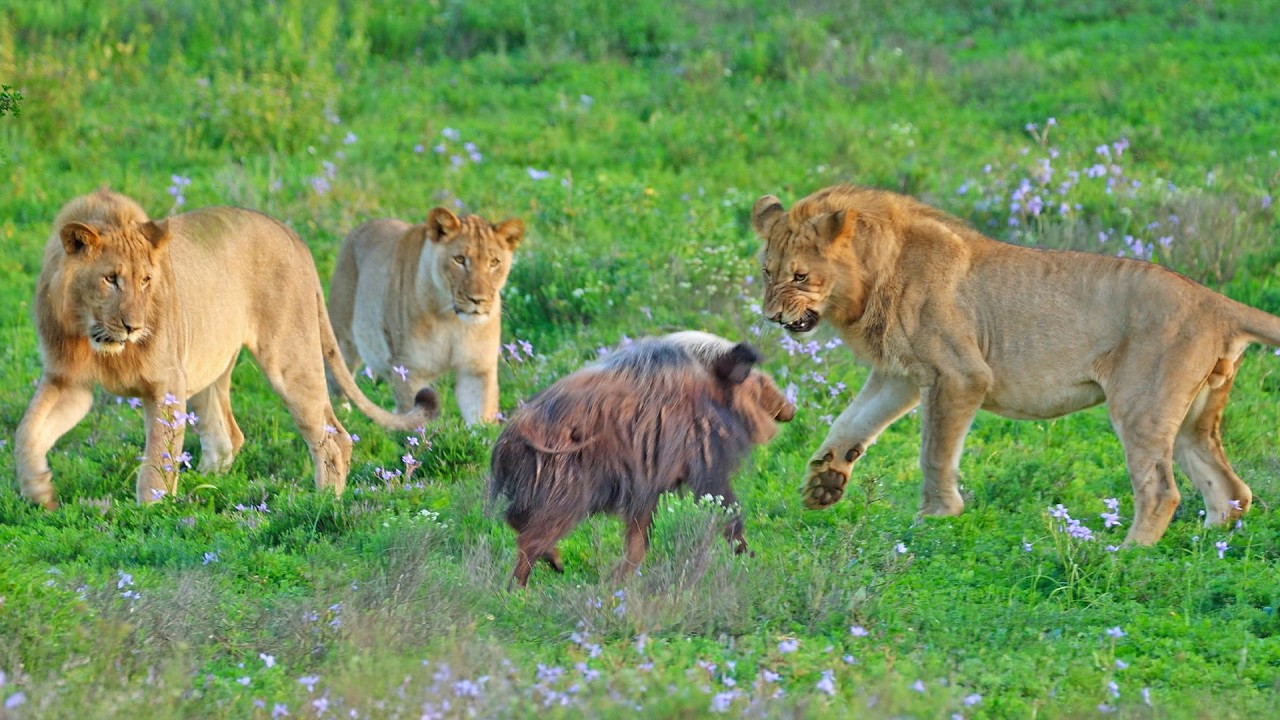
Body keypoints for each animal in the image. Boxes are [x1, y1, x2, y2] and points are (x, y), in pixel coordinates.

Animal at [14, 189, 440, 508]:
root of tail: (290, 233)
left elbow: (156, 460)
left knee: (333, 437)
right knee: (226, 438)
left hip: (288, 356)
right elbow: (27, 432)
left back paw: (322, 504)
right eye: (110, 279)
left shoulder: (166, 382)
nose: (134, 326)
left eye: (146, 280)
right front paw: (39, 492)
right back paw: (205, 492)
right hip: (209, 366)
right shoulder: (68, 382)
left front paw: (151, 515)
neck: (93, 335)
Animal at [327, 207, 524, 424]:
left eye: (494, 262)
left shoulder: (477, 371)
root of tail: (362, 226)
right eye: (459, 260)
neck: (452, 320)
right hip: (342, 340)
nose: (477, 299)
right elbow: (416, 423)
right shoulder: (411, 371)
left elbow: (481, 422)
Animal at [751, 184, 1280, 545]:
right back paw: (1205, 549)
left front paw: (935, 518)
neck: (870, 279)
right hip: (1193, 420)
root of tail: (1215, 300)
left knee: (1161, 491)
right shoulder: (900, 375)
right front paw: (824, 483)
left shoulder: (959, 375)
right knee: (1231, 490)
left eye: (801, 276)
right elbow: (851, 422)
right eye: (766, 271)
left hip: (1141, 405)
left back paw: (1126, 554)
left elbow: (934, 452)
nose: (772, 316)